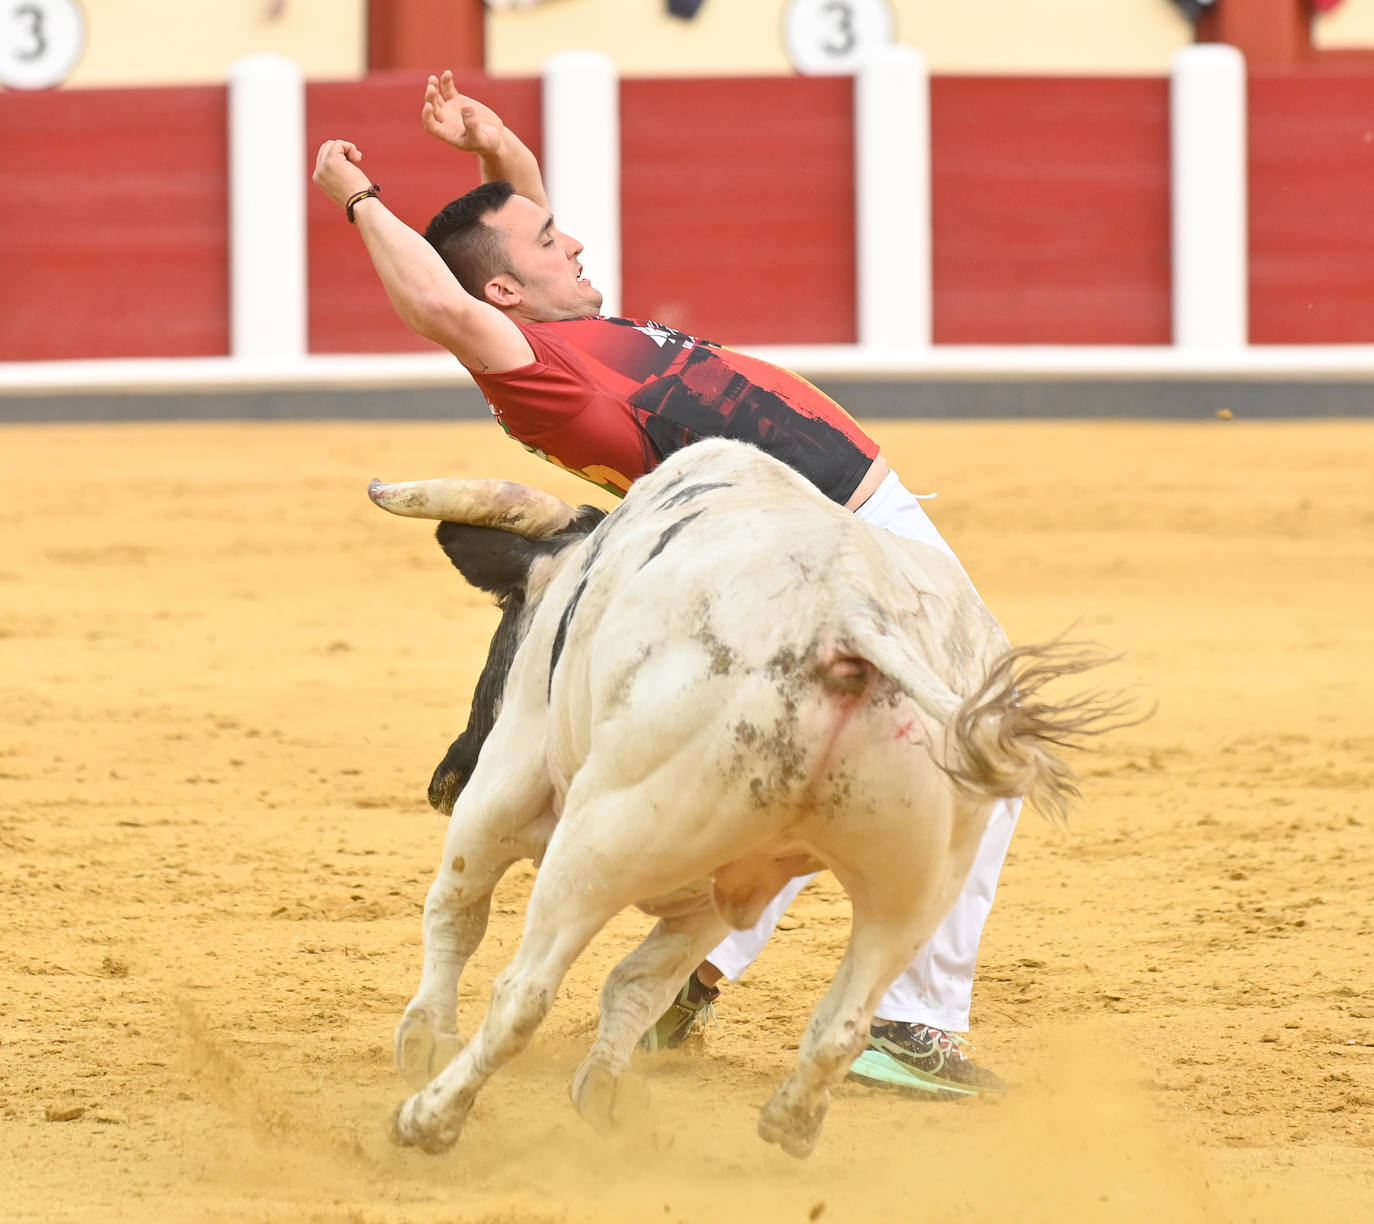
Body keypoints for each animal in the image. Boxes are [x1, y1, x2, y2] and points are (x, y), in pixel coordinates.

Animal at [368, 436, 1126, 1159]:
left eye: (507, 617)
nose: (445, 780)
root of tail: (852, 613)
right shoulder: (714, 891)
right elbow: (639, 983)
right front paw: (605, 1092)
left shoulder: (507, 785)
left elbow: (459, 913)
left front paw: (423, 1039)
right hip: (916, 884)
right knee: (841, 1021)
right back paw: (791, 1120)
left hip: (599, 838)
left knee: (523, 991)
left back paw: (429, 1116)